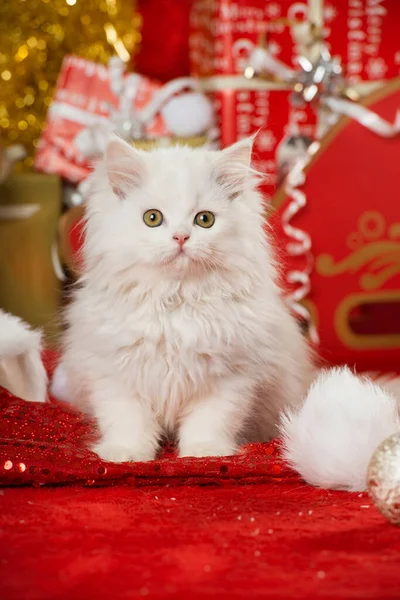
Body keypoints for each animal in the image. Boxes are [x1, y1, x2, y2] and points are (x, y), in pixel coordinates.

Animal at [57, 137, 312, 464]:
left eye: (204, 220)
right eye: (152, 218)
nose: (180, 237)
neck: (175, 300)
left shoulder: (230, 378)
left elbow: (209, 422)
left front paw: (204, 453)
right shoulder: (115, 374)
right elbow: (128, 422)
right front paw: (126, 455)